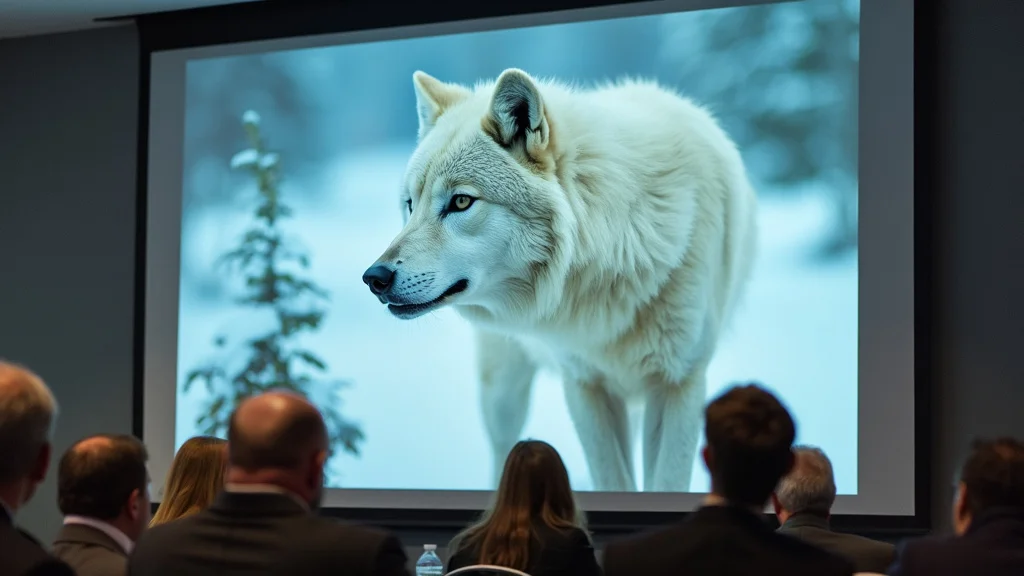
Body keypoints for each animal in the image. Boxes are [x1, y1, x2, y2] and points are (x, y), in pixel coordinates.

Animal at [362, 68, 757, 492]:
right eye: (410, 204)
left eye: (461, 202)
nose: (374, 277)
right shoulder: (584, 386)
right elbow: (613, 482)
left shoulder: (679, 383)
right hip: (503, 395)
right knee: (501, 450)